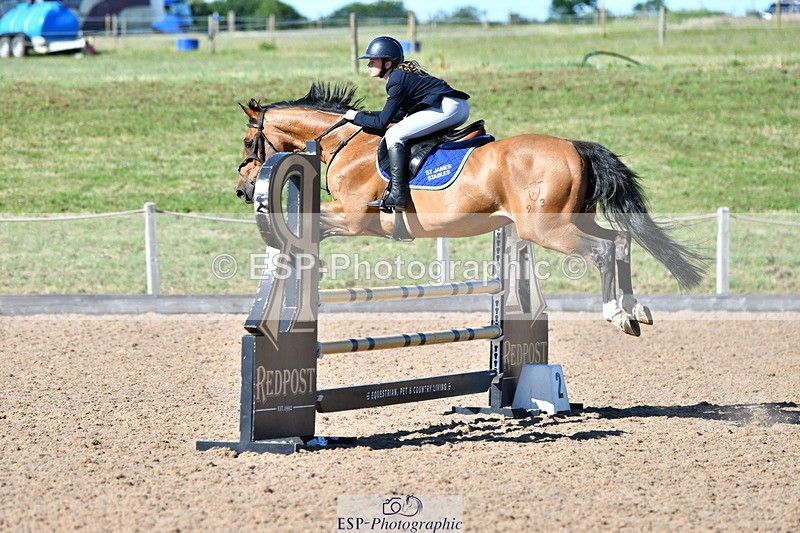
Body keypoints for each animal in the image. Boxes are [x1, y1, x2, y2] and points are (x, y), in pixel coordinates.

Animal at [235, 82, 707, 336]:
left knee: (603, 251)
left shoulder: (352, 218)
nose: (243, 189)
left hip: (544, 229)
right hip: (567, 221)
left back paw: (617, 315)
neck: (344, 145)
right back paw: (636, 309)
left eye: (246, 142)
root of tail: (575, 146)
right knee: (621, 240)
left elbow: (313, 229)